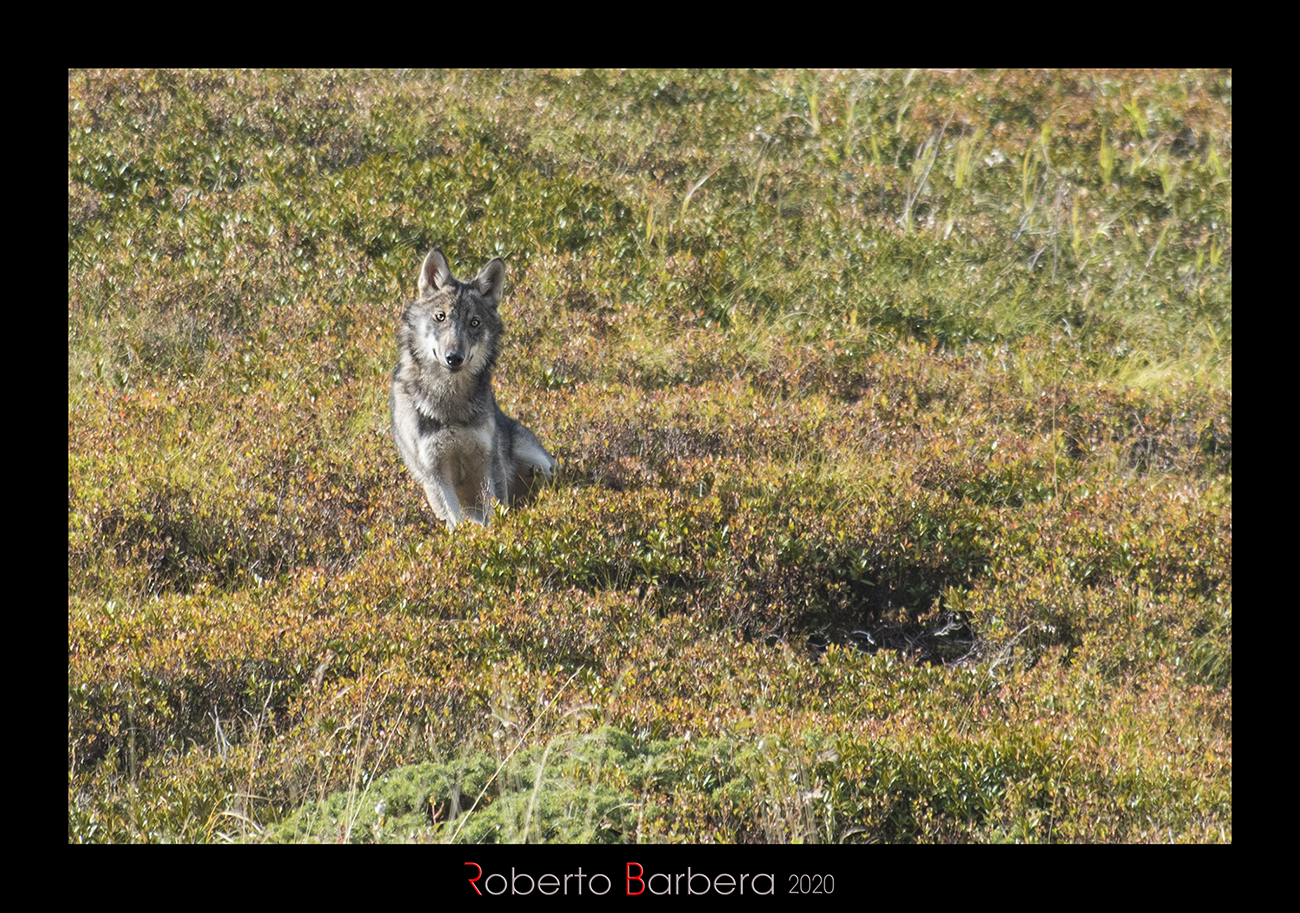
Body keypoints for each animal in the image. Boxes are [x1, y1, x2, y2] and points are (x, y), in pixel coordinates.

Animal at [390, 248, 557, 530]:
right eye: (441, 317)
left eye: (475, 323)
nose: (453, 357)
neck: (450, 403)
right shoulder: (436, 473)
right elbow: (455, 522)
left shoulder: (488, 462)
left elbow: (495, 511)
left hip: (540, 466)